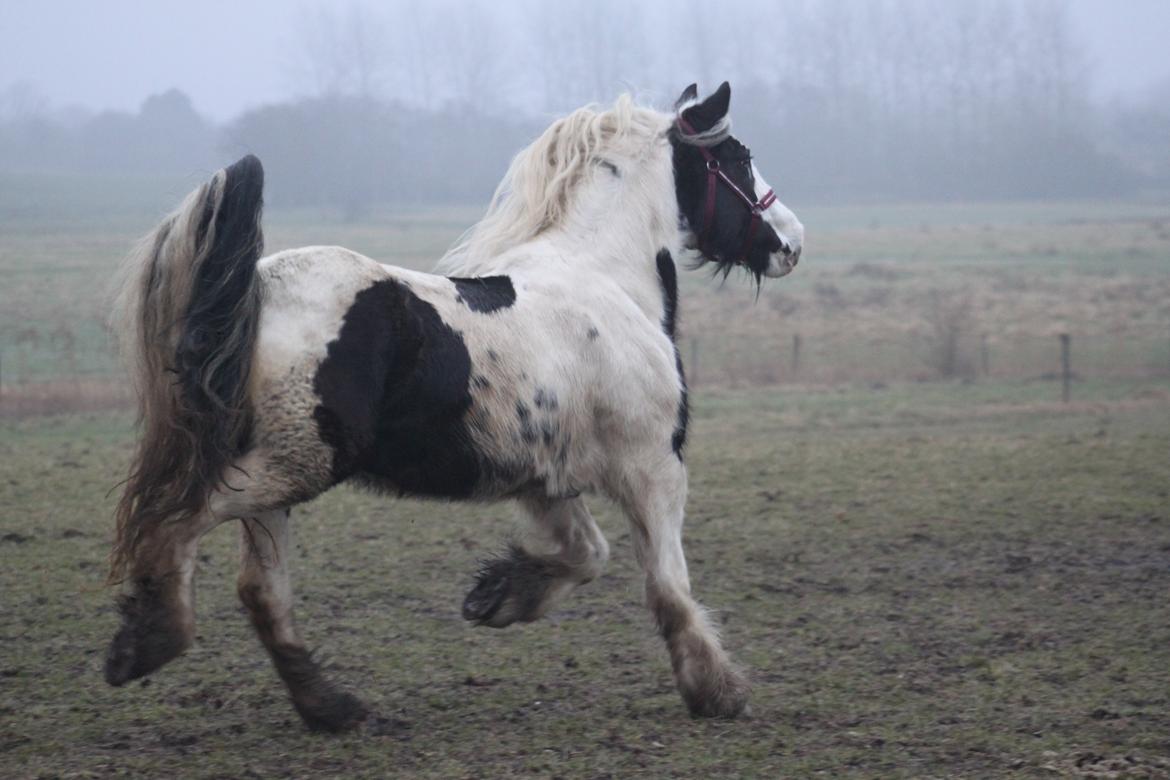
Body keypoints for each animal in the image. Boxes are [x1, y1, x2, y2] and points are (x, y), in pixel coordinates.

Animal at [107, 85, 804, 734]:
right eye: (737, 159)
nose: (792, 242)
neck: (604, 280)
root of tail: (255, 288)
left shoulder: (545, 482)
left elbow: (586, 555)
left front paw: (497, 596)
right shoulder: (653, 469)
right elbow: (668, 586)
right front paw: (718, 692)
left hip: (282, 473)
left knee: (260, 590)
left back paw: (332, 708)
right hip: (294, 465)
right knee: (176, 523)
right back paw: (147, 644)